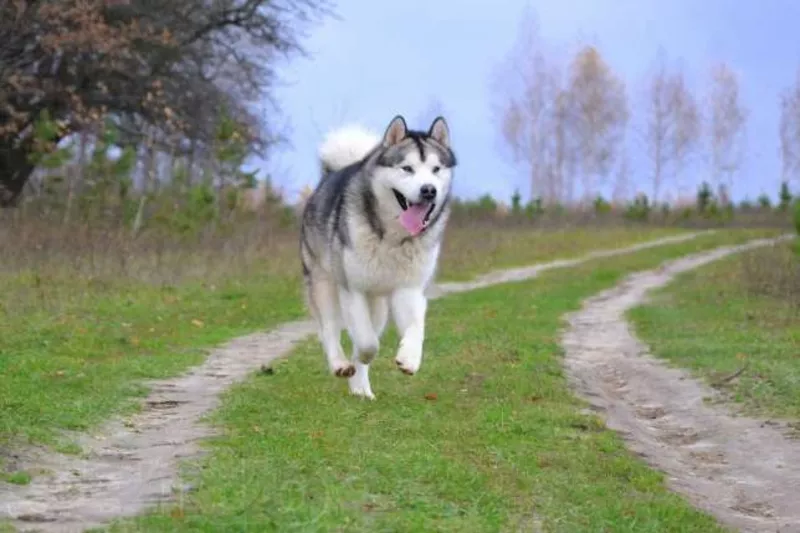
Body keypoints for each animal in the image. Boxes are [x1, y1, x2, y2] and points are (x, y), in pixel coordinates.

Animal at [300, 116, 460, 400]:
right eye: (407, 168)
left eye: (436, 169)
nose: (428, 190)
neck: (392, 238)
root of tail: (330, 175)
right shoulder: (352, 289)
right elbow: (366, 342)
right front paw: (361, 356)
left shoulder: (409, 289)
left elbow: (416, 327)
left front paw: (409, 358)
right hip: (323, 282)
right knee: (329, 328)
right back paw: (340, 364)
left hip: (378, 304)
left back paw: (360, 388)